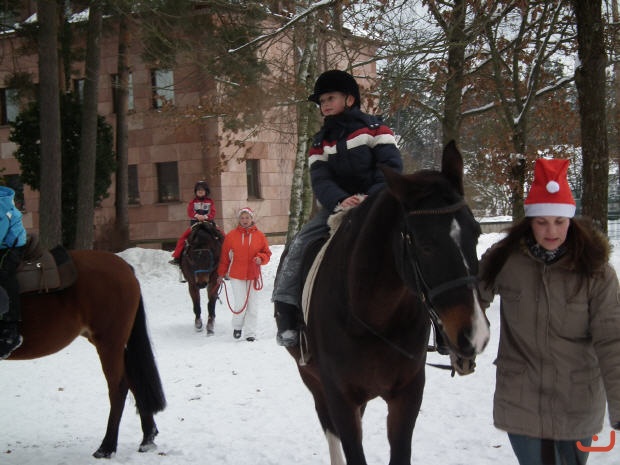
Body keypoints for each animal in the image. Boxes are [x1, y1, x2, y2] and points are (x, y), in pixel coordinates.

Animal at [7, 249, 166, 458]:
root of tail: (125, 267)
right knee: (133, 380)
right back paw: (147, 438)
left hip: (109, 342)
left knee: (119, 388)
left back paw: (107, 447)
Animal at [284, 142, 490, 465]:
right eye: (425, 244)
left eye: (477, 233)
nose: (475, 333)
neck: (371, 317)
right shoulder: (339, 395)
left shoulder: (408, 393)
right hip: (312, 379)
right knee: (329, 429)